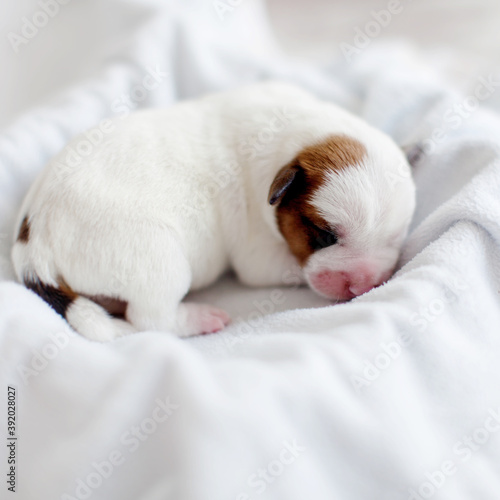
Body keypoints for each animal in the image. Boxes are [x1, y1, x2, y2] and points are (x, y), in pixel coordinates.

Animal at [12, 82, 418, 342]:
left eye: (395, 238)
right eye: (323, 236)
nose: (364, 283)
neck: (295, 133)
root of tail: (33, 244)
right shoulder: (258, 254)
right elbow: (287, 269)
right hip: (157, 261)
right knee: (150, 318)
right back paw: (199, 318)